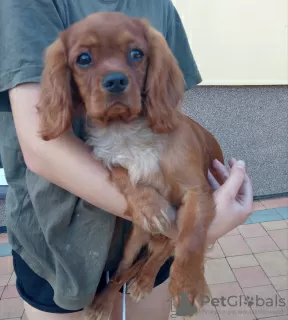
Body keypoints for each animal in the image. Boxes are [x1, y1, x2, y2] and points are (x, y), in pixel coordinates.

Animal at [36, 11, 225, 318]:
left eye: (137, 54)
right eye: (83, 59)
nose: (115, 81)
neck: (125, 130)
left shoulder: (197, 191)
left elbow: (192, 238)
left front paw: (188, 284)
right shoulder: (108, 159)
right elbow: (120, 171)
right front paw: (150, 205)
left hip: (165, 238)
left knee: (158, 257)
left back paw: (145, 281)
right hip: (134, 238)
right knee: (123, 270)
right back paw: (103, 301)